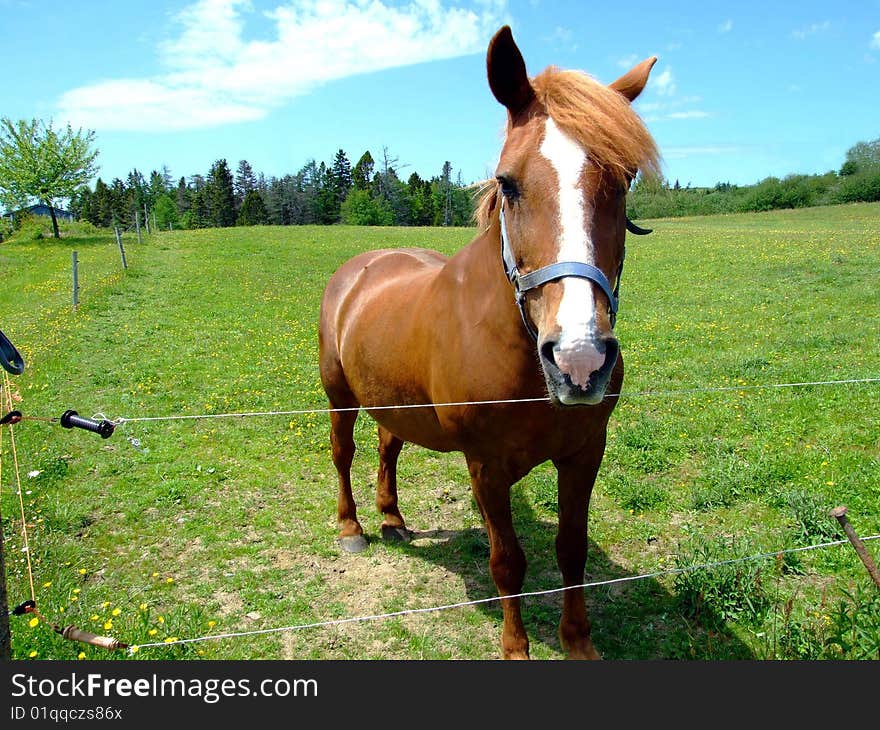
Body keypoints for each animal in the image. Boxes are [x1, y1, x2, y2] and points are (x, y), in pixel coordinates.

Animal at [320, 25, 656, 656]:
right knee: (344, 453)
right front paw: (516, 647)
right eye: (508, 182)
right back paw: (353, 527)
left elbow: (572, 551)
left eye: (623, 181)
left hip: (391, 398)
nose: (579, 359)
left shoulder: (584, 453)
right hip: (339, 396)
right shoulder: (486, 465)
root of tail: (359, 268)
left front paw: (578, 641)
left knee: (388, 447)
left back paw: (392, 519)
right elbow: (507, 563)